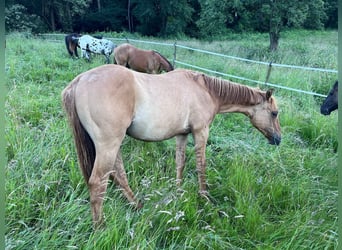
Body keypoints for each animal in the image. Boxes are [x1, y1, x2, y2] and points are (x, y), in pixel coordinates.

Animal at [62, 64, 282, 227]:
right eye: (274, 113)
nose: (278, 139)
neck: (205, 90)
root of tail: (79, 81)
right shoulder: (201, 132)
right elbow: (201, 166)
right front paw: (205, 197)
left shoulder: (182, 135)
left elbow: (180, 163)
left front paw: (179, 191)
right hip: (109, 144)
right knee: (98, 182)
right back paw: (100, 226)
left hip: (113, 146)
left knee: (118, 175)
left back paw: (137, 205)